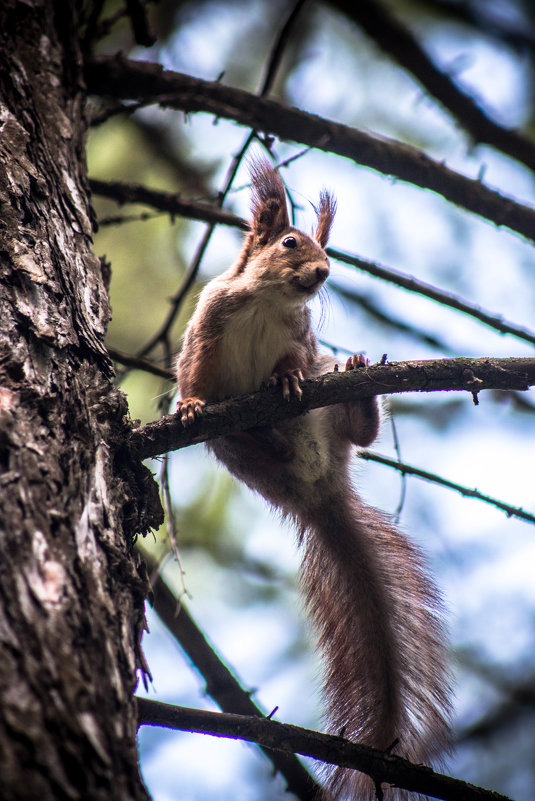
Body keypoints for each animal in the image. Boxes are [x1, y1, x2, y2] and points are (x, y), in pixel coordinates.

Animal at [177, 159, 452, 796]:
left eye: (328, 249)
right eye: (289, 243)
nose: (324, 271)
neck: (267, 302)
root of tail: (318, 492)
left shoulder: (303, 340)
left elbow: (295, 360)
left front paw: (283, 379)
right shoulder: (207, 325)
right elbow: (194, 373)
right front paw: (191, 404)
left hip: (331, 408)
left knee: (357, 433)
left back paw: (358, 395)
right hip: (235, 454)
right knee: (246, 446)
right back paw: (264, 438)